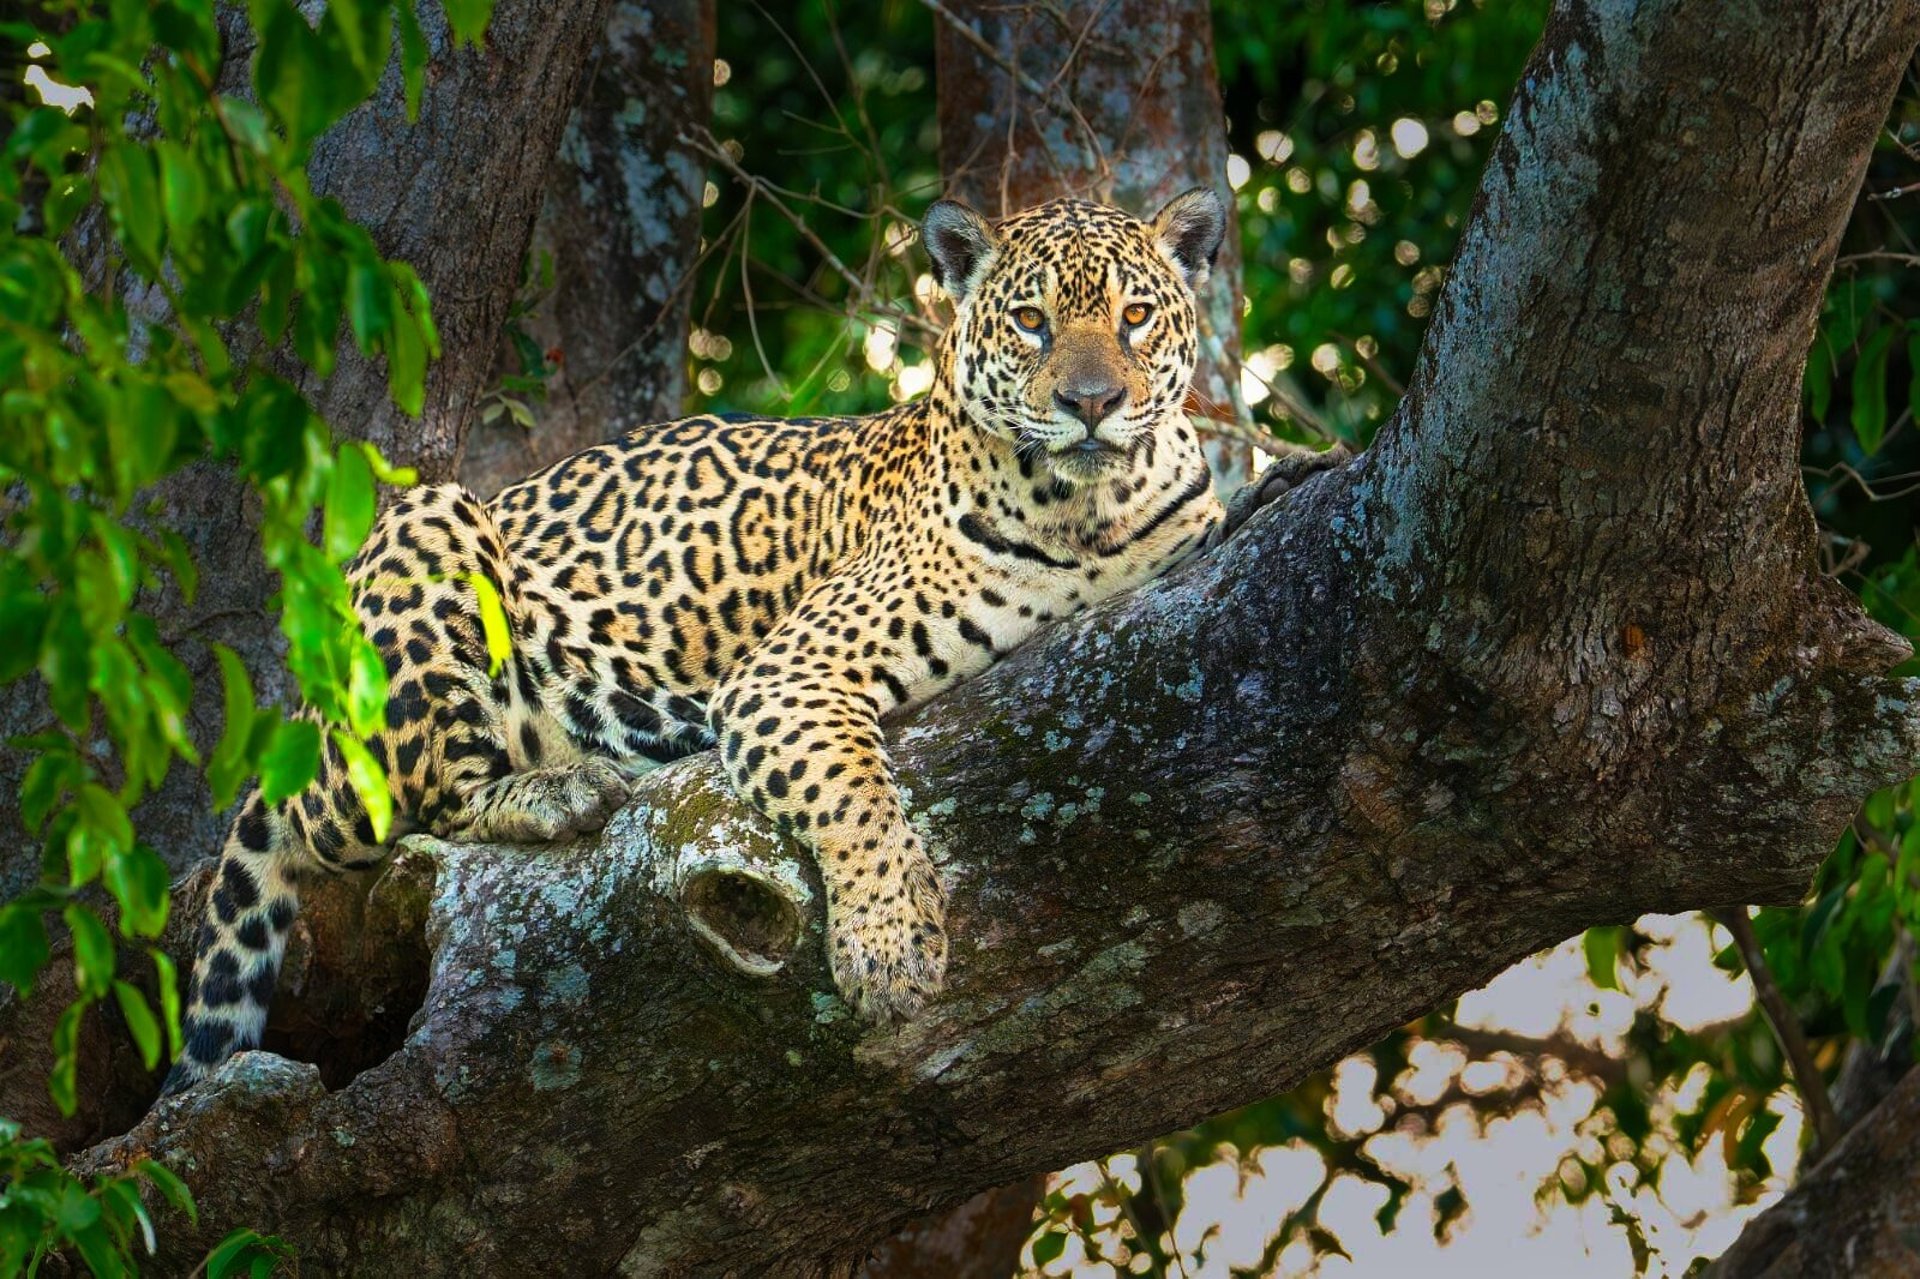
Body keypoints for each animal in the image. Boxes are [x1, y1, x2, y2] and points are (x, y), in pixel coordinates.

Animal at [160, 188, 1345, 1093]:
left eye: (1137, 316)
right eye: (1032, 324)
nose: (1093, 402)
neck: (1090, 514)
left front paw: (1289, 475)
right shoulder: (789, 672)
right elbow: (855, 795)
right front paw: (890, 947)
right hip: (428, 531)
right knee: (387, 805)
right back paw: (551, 787)